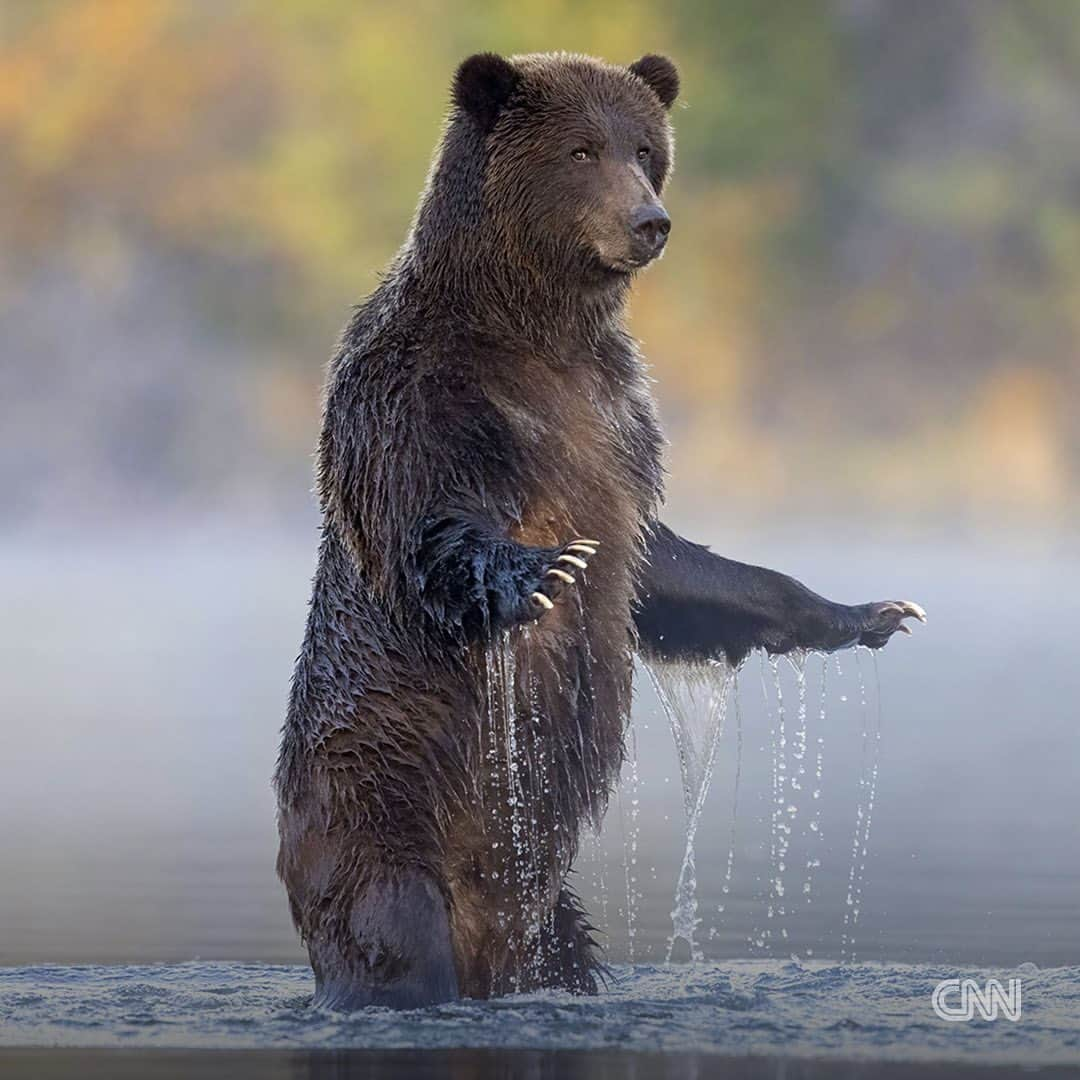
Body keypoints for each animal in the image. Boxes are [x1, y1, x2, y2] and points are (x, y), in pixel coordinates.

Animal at [274, 52, 924, 1010]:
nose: (649, 222)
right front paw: (543, 572)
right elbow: (427, 527)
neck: (533, 329)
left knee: (564, 952)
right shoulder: (416, 396)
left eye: (645, 148)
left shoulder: (617, 425)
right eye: (581, 150)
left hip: (548, 910)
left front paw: (871, 612)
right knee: (392, 937)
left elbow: (666, 568)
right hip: (379, 813)